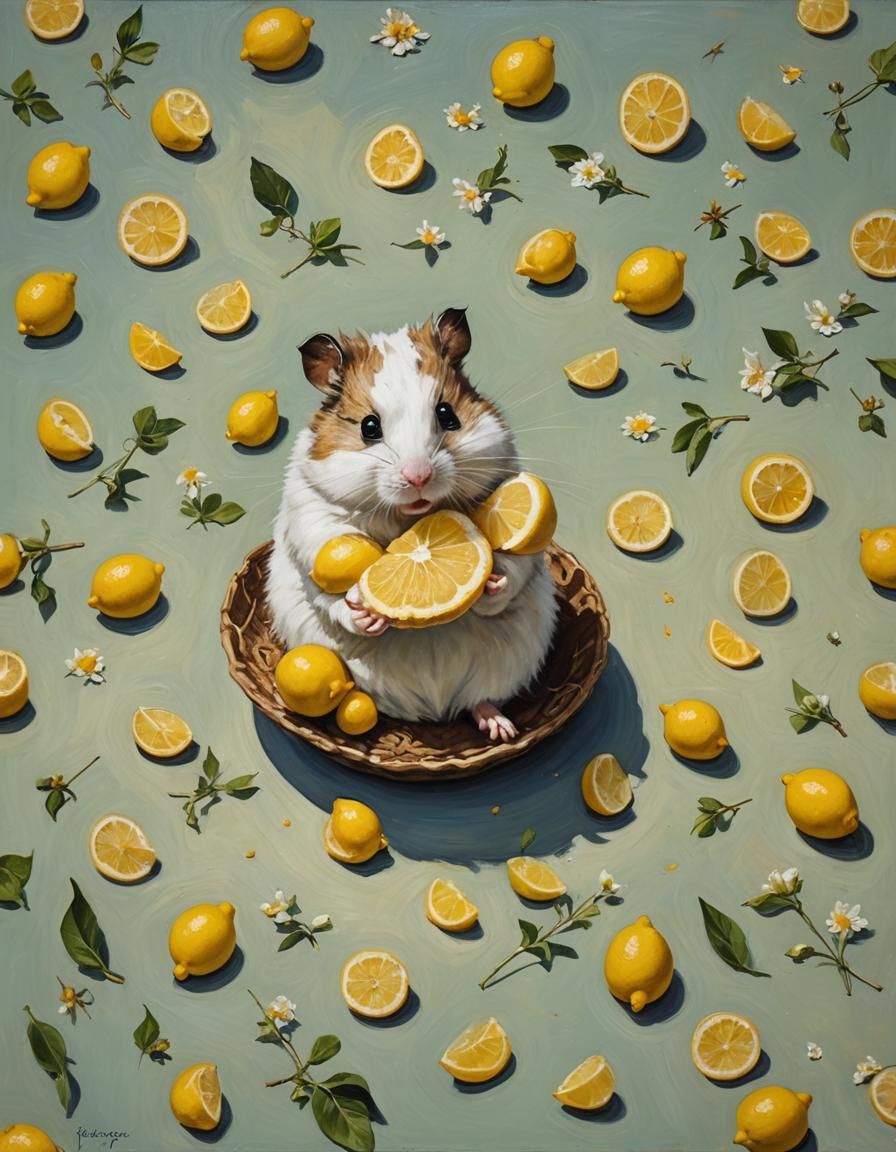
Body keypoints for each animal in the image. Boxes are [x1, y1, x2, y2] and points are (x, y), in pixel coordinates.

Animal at [265, 308, 559, 742]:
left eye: (447, 414)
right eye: (369, 427)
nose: (418, 477)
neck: (410, 517)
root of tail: (434, 708)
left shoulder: (506, 489)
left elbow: (514, 567)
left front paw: (490, 585)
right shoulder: (312, 525)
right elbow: (330, 595)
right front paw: (365, 613)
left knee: (479, 700)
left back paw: (500, 728)